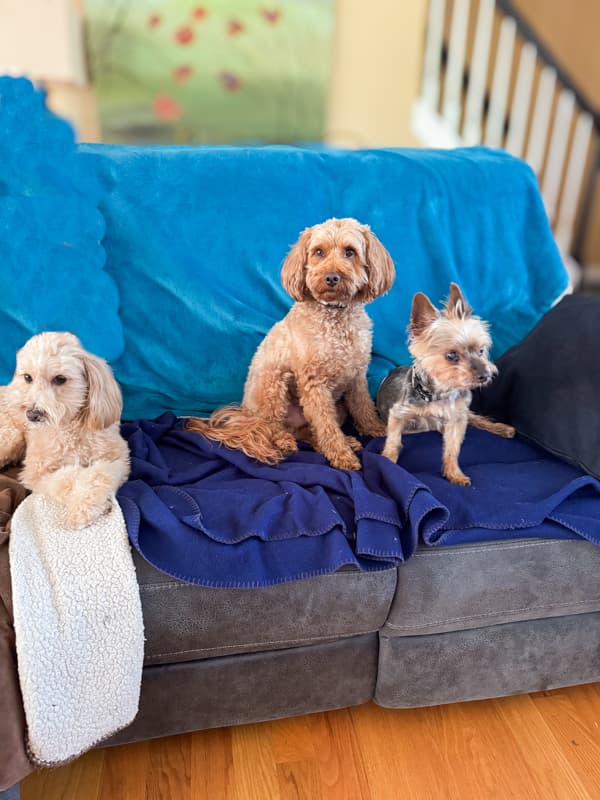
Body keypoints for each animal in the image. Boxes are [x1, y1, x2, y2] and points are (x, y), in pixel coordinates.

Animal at [0, 332, 131, 528]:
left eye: (60, 379)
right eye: (28, 377)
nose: (32, 414)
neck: (70, 429)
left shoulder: (118, 458)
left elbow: (100, 474)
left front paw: (88, 505)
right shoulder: (36, 473)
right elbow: (65, 479)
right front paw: (83, 508)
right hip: (11, 437)